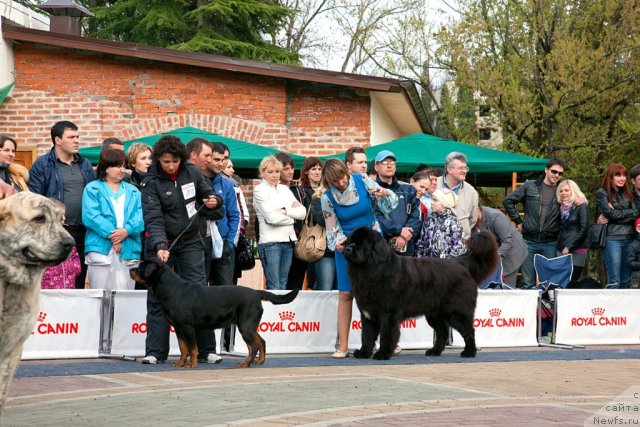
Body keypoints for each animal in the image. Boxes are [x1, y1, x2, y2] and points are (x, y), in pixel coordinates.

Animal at [132, 260, 300, 370]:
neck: (171, 289)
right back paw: (259, 361)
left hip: (245, 326)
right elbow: (183, 348)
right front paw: (180, 363)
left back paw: (245, 364)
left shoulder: (187, 327)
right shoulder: (179, 328)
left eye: (140, 267)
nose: (131, 269)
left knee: (253, 346)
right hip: (249, 326)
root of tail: (256, 293)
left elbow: (192, 348)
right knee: (261, 342)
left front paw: (191, 364)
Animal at [344, 227, 500, 362]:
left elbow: (386, 335)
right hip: (434, 314)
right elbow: (367, 335)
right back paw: (434, 351)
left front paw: (383, 354)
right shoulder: (367, 314)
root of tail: (460, 263)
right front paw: (363, 353)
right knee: (442, 332)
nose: (348, 248)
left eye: (361, 244)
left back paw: (469, 352)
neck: (371, 269)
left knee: (468, 331)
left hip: (456, 312)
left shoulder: (388, 315)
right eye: (350, 241)